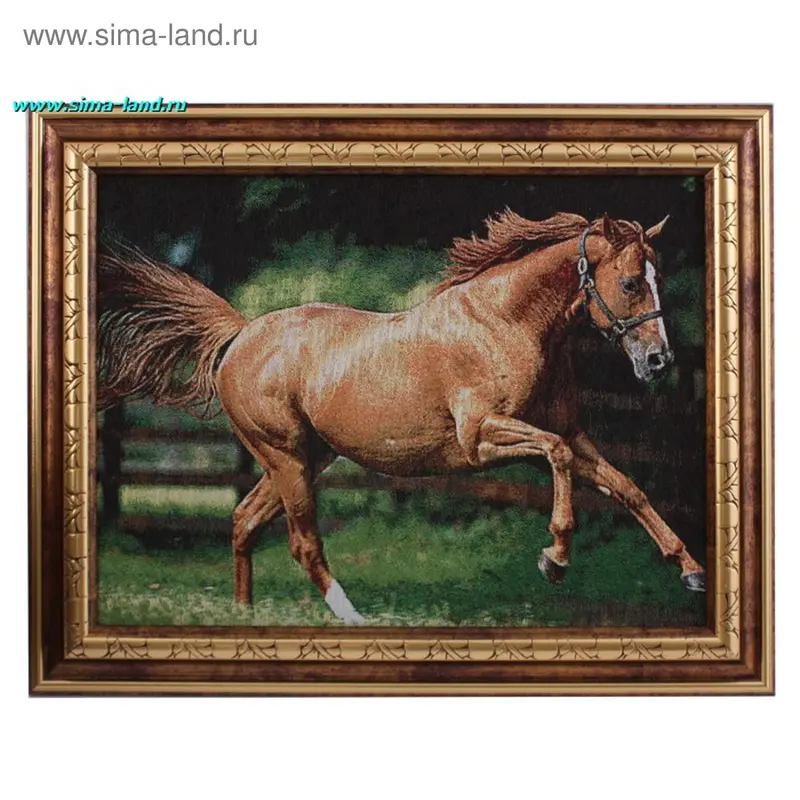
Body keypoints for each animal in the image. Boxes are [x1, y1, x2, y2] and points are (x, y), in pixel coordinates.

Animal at [98, 210, 706, 624]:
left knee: (245, 520)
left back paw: (245, 616)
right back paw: (352, 618)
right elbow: (556, 459)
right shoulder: (481, 440)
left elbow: (627, 487)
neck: (506, 323)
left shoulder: (571, 434)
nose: (659, 361)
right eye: (630, 283)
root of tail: (242, 334)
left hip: (307, 458)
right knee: (303, 543)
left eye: (657, 279)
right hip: (285, 457)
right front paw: (553, 559)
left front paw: (691, 570)